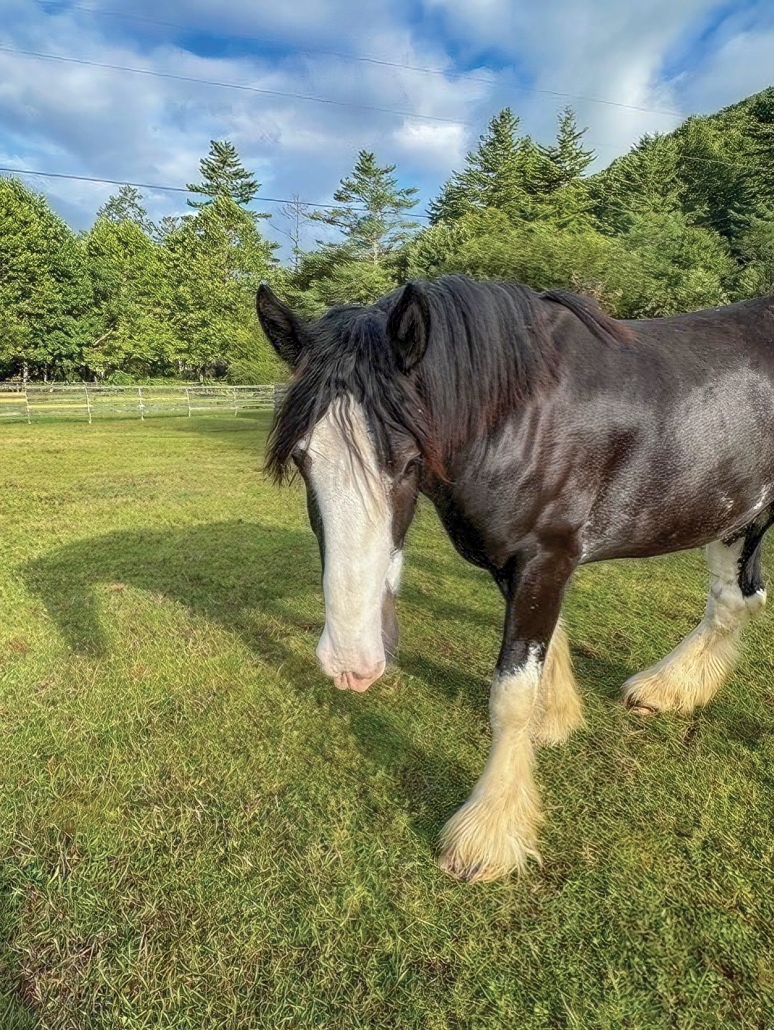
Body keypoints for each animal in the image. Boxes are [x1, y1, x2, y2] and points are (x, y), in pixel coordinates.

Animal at [255, 276, 774, 885]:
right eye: (303, 458)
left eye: (406, 461)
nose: (350, 663)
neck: (520, 416)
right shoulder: (517, 564)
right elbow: (547, 648)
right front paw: (556, 721)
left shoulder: (545, 557)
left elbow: (511, 692)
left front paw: (489, 832)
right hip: (736, 516)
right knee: (734, 600)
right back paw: (668, 689)